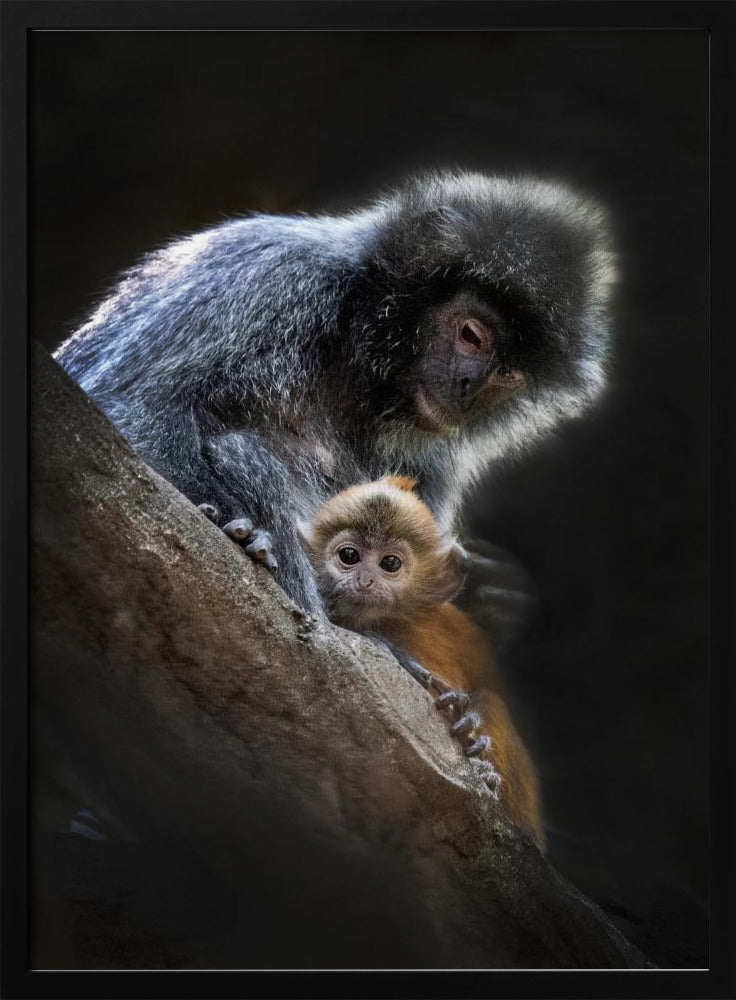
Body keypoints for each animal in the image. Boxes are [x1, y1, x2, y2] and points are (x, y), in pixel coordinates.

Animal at [54, 172, 614, 619]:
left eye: (509, 374)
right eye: (471, 335)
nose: (469, 388)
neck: (354, 353)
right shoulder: (270, 274)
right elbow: (128, 405)